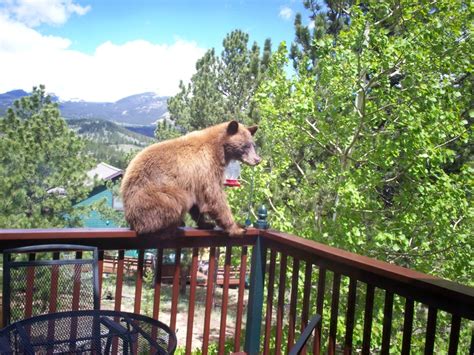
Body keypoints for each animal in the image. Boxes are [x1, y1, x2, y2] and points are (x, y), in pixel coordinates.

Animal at [118, 121, 260, 238]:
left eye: (253, 145)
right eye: (245, 146)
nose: (257, 159)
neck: (219, 149)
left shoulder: (196, 179)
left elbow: (199, 201)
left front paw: (206, 223)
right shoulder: (206, 167)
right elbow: (214, 196)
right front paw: (237, 228)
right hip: (154, 196)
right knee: (175, 201)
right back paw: (172, 226)